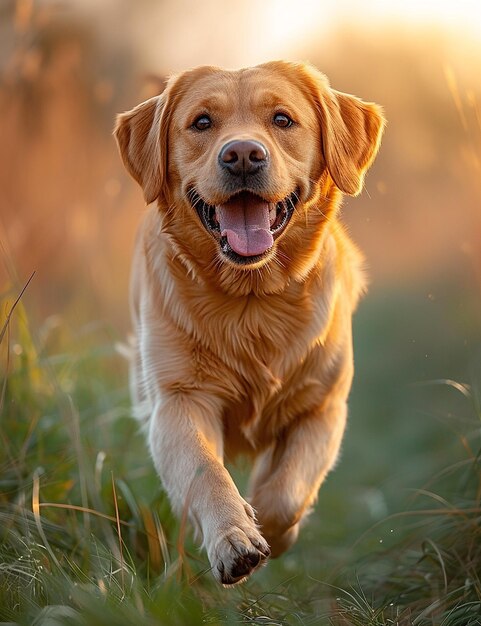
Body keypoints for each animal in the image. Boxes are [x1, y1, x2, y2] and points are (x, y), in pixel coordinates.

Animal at [114, 61, 384, 584]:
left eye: (282, 120)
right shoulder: (178, 401)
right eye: (201, 122)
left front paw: (272, 526)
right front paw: (234, 538)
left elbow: (287, 489)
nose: (242, 154)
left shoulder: (322, 407)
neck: (252, 300)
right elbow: (206, 473)